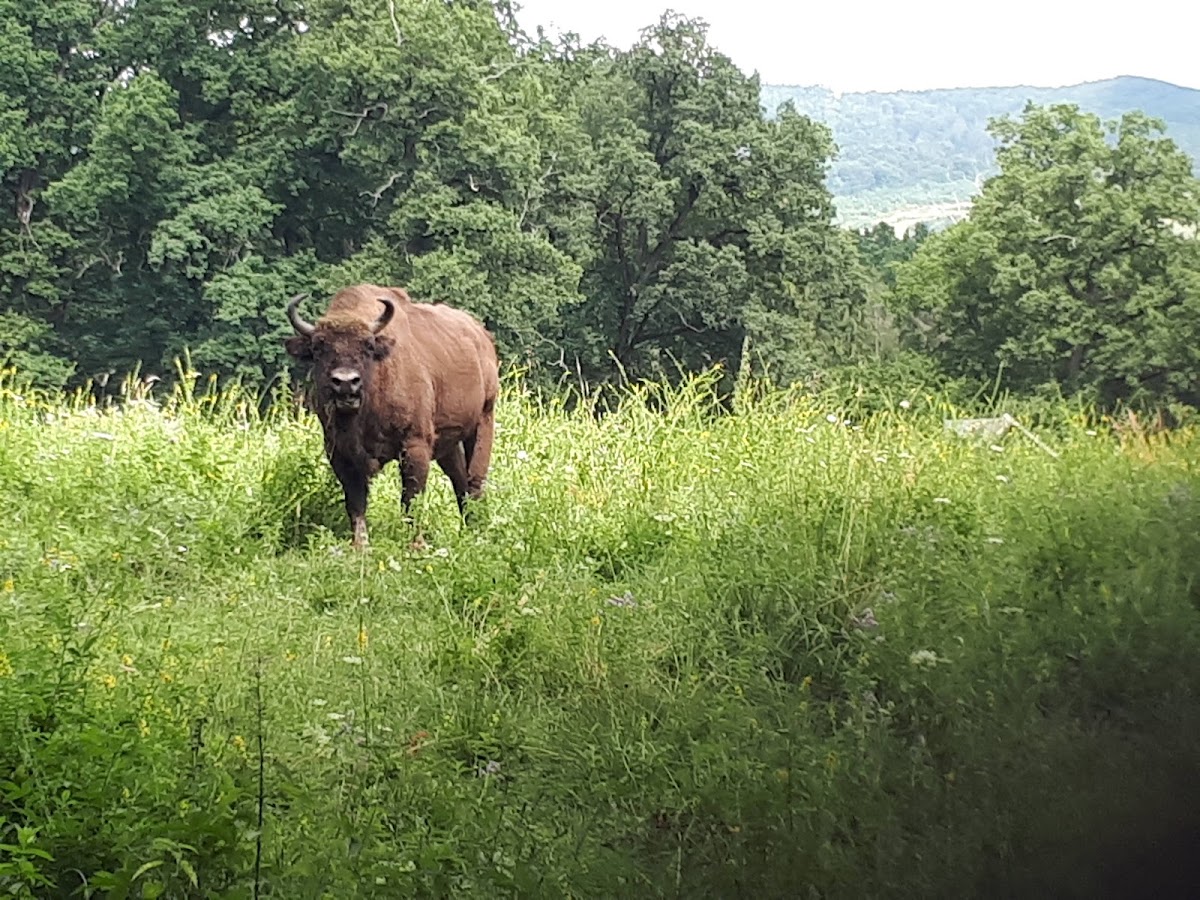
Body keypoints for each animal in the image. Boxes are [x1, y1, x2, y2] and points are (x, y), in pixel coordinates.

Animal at [284, 283, 499, 549]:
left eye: (367, 345)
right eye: (317, 347)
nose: (346, 382)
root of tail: (482, 337)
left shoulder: (415, 446)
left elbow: (411, 499)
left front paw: (416, 545)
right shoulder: (340, 453)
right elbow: (356, 502)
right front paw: (361, 546)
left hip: (483, 420)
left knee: (475, 480)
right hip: (447, 444)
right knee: (459, 481)